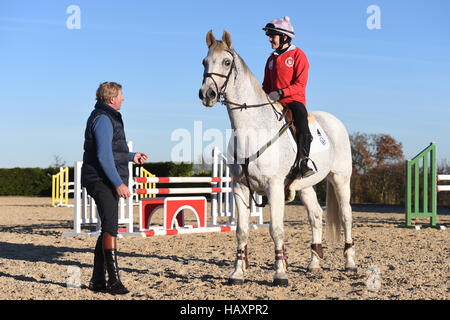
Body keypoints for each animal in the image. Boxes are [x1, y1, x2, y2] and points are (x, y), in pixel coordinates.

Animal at [199, 30, 356, 284]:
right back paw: (314, 264)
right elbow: (241, 231)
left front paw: (280, 273)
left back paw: (350, 263)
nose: (207, 94)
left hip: (340, 179)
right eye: (204, 62)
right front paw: (237, 273)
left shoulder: (273, 186)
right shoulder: (240, 187)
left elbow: (276, 229)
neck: (252, 128)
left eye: (226, 62)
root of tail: (335, 121)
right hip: (305, 186)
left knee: (346, 216)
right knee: (315, 216)